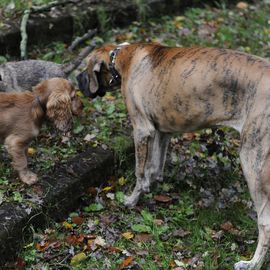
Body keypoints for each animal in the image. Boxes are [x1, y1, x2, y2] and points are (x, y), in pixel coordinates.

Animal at [76, 43, 270, 268]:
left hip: (252, 161)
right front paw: (151, 187)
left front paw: (132, 199)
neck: (121, 57)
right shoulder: (162, 132)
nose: (76, 80)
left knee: (265, 223)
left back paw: (253, 263)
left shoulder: (142, 130)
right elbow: (154, 166)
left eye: (85, 68)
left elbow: (139, 171)